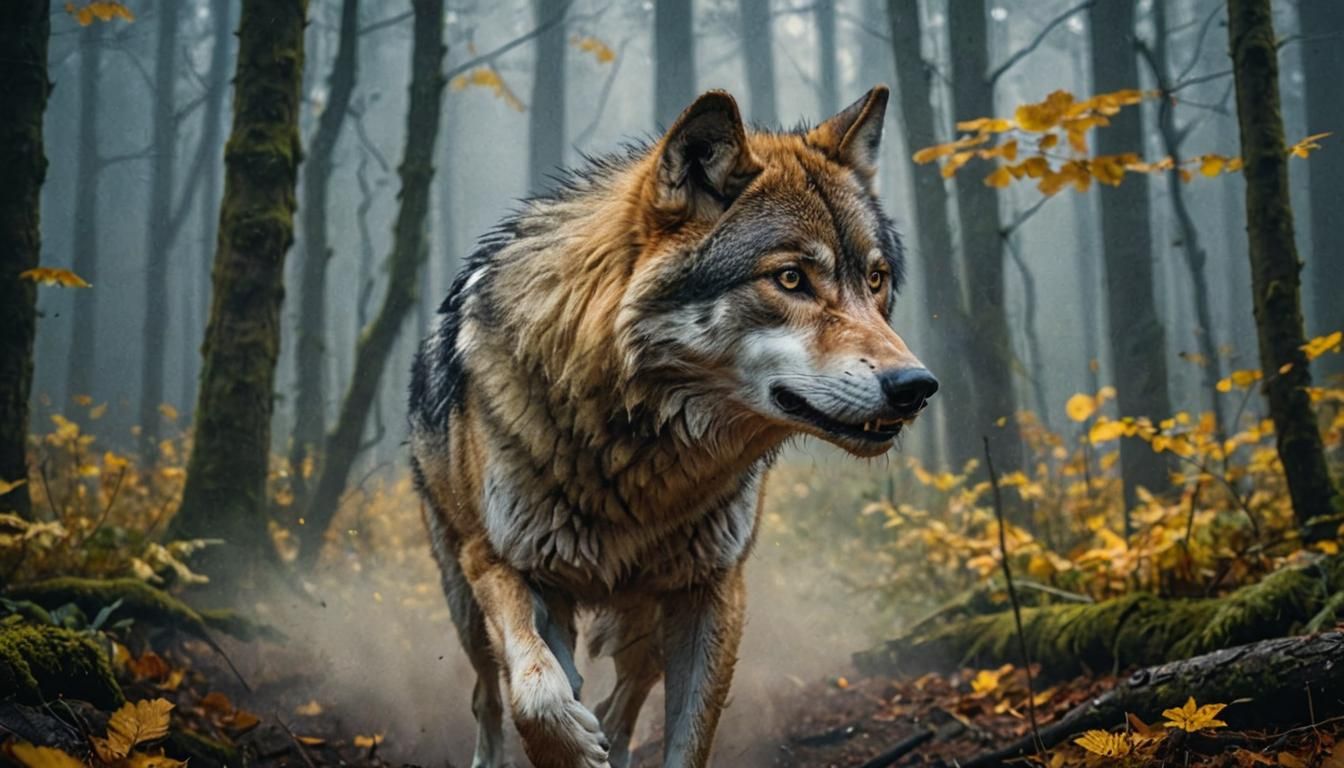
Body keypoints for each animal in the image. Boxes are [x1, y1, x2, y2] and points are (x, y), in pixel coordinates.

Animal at [409, 86, 938, 768]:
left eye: (875, 279)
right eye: (791, 277)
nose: (917, 387)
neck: (637, 457)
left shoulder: (712, 590)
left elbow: (686, 735)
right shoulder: (501, 563)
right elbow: (537, 692)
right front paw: (571, 746)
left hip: (649, 619)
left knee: (626, 696)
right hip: (465, 600)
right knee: (490, 692)